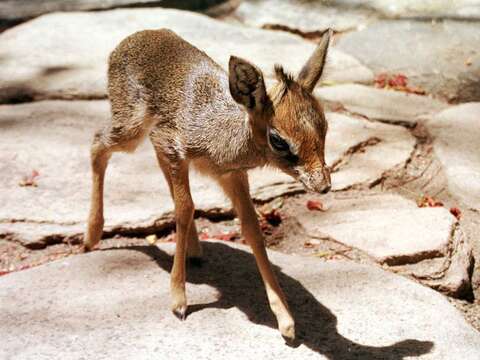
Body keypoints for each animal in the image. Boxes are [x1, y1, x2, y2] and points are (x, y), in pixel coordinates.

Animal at [84, 28, 332, 340]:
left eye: (325, 126)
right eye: (278, 139)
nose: (323, 185)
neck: (221, 139)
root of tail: (135, 37)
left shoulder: (231, 175)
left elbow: (251, 227)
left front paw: (285, 319)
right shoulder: (174, 147)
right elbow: (184, 208)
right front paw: (178, 301)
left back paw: (194, 250)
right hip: (130, 129)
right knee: (97, 143)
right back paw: (91, 237)